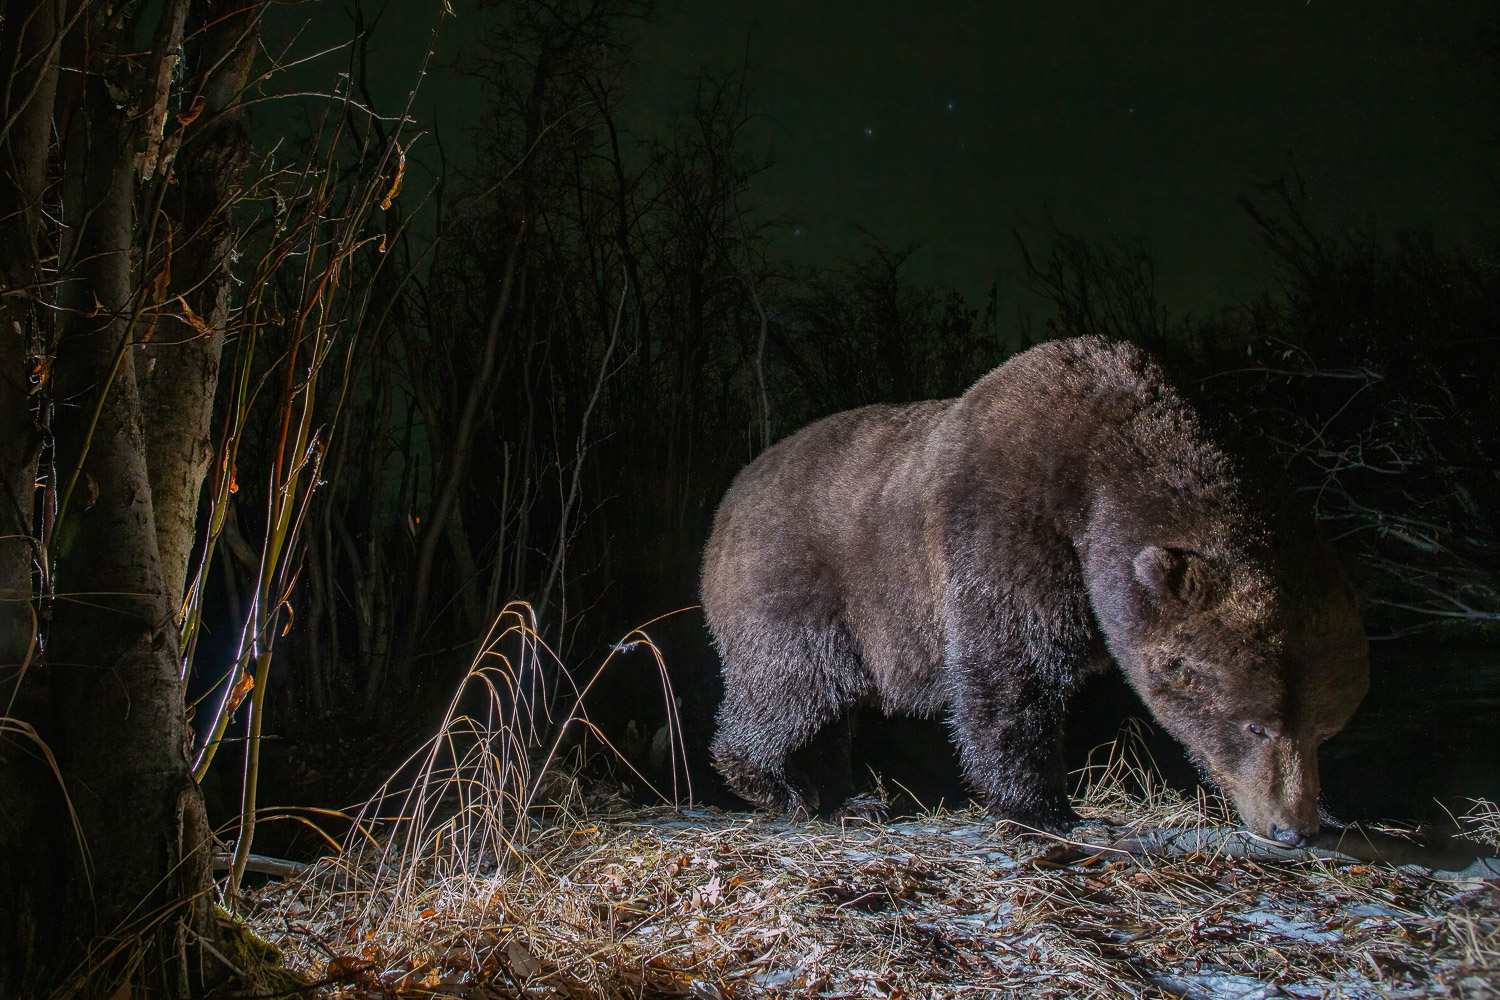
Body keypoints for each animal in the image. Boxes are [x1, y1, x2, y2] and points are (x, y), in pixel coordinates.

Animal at [702, 335, 1374, 845]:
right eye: (1255, 725)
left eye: (1324, 728)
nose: (1292, 829)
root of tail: (726, 504)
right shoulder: (1008, 519)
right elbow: (1011, 666)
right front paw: (1051, 809)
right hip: (801, 581)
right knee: (795, 683)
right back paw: (781, 786)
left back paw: (847, 795)